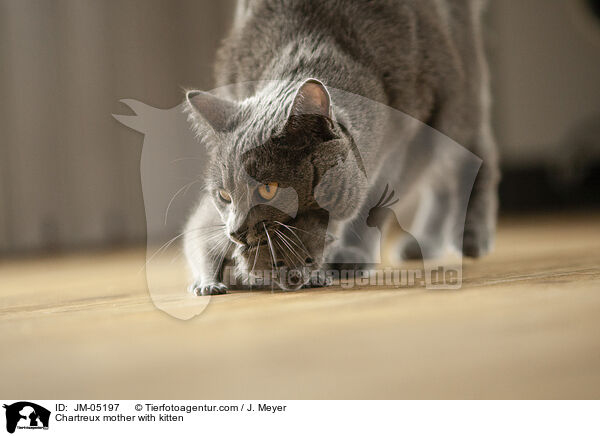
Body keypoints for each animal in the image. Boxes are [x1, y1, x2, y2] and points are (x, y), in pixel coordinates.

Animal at [185, 0, 500, 296]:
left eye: (269, 189)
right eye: (224, 195)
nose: (236, 232)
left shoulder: (412, 135)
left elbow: (374, 202)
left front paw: (347, 257)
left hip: (455, 99)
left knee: (472, 156)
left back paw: (470, 237)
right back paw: (424, 244)